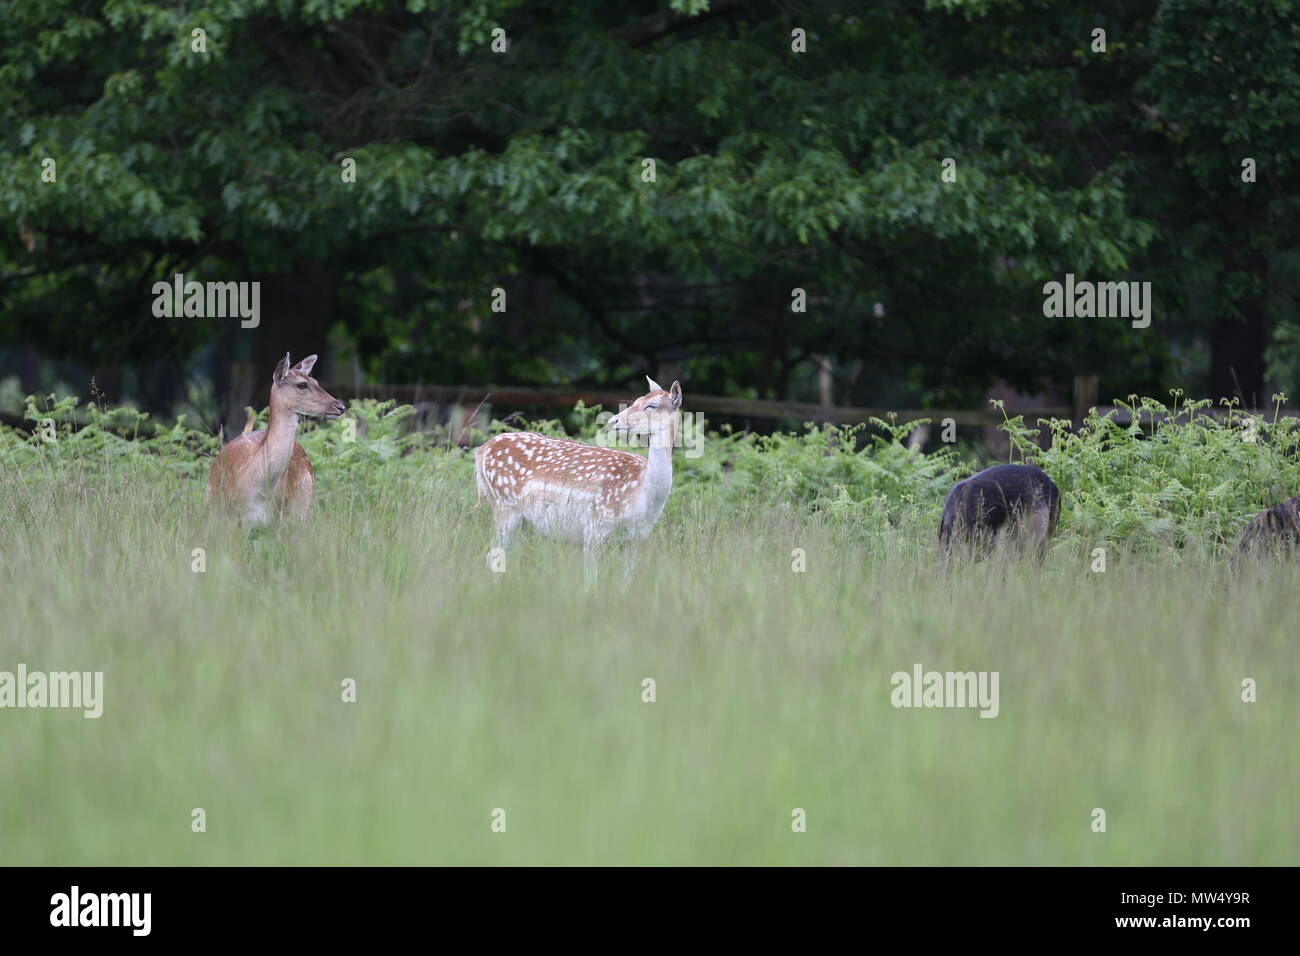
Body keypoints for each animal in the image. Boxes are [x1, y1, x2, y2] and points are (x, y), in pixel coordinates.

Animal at [475, 377, 681, 580]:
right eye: (636, 400)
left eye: (651, 405)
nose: (613, 421)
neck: (642, 495)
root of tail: (482, 451)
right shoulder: (595, 526)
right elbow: (591, 578)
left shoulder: (635, 538)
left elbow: (626, 579)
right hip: (504, 504)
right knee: (493, 554)